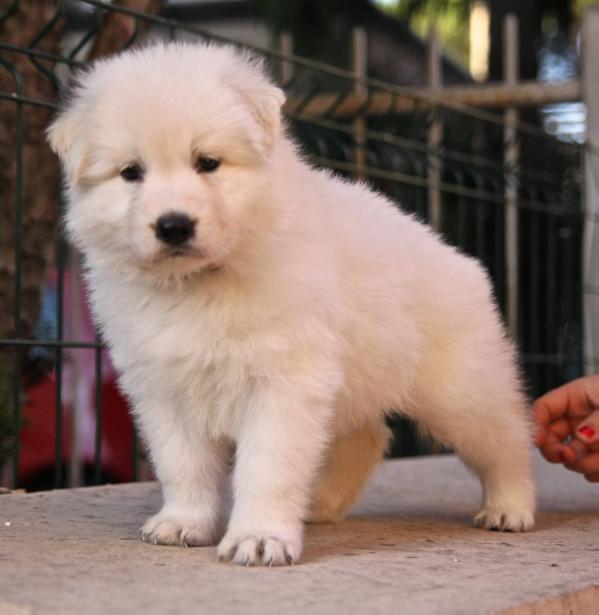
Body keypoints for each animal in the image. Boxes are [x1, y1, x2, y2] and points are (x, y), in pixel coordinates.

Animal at [47, 43, 536, 568]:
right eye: (131, 173)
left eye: (208, 163)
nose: (173, 225)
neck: (201, 283)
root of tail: (459, 259)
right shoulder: (165, 388)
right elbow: (182, 463)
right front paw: (184, 522)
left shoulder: (284, 380)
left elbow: (267, 466)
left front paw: (259, 537)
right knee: (367, 438)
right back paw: (319, 505)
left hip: (462, 391)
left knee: (506, 439)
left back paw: (510, 507)